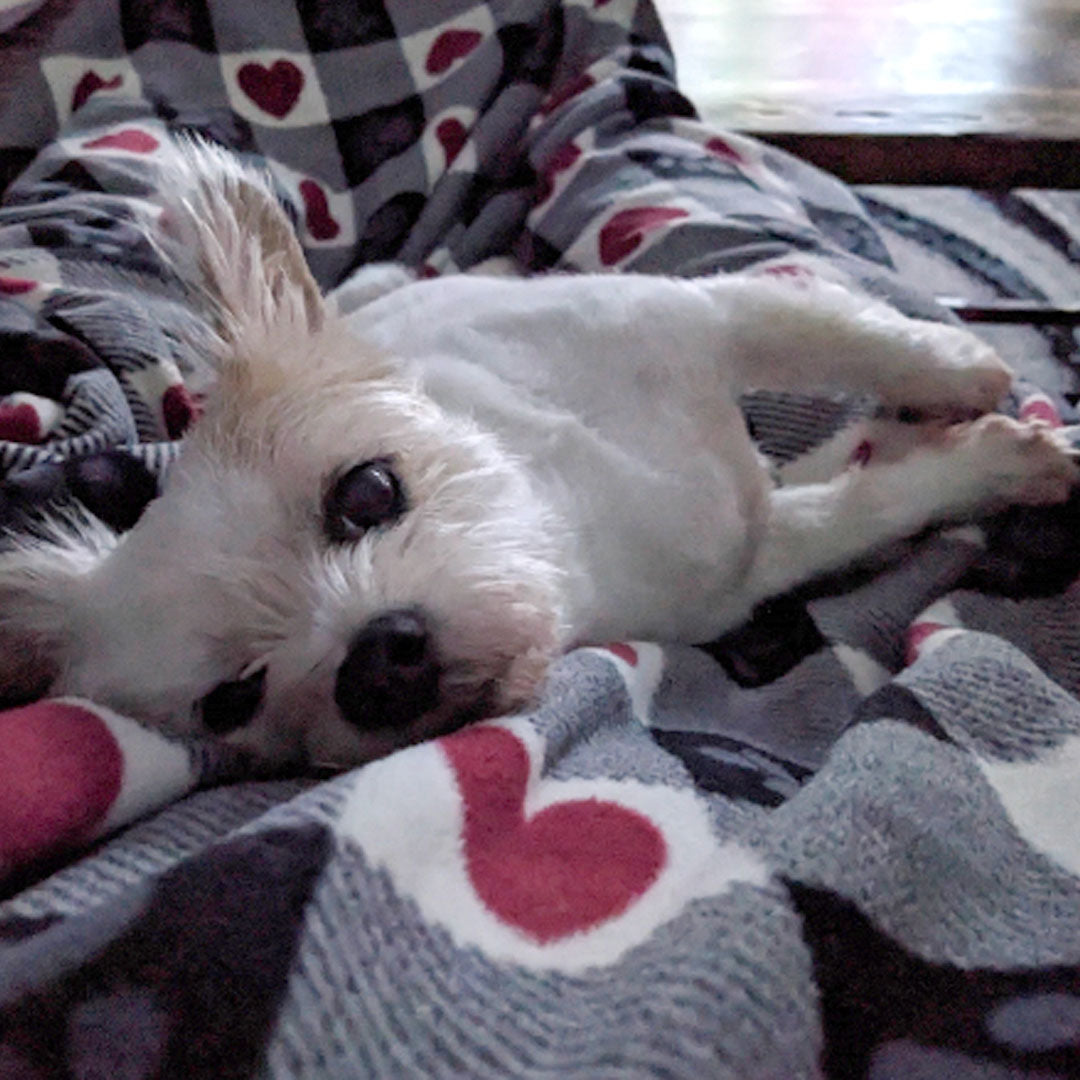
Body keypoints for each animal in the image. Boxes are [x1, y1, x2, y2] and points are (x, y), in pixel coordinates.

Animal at [2, 141, 1080, 768]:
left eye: (367, 492)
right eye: (233, 701)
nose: (375, 668)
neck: (579, 503)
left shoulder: (705, 314)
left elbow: (838, 334)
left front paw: (962, 368)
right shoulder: (749, 565)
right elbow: (874, 506)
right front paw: (995, 461)